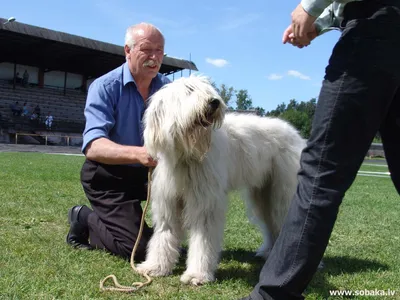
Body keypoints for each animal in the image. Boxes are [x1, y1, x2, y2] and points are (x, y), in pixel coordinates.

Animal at [136, 75, 304, 286]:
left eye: (208, 89)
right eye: (189, 90)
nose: (214, 102)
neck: (187, 155)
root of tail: (296, 134)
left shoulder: (206, 202)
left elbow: (203, 239)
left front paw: (197, 274)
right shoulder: (169, 201)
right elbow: (164, 234)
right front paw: (155, 267)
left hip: (282, 192)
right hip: (263, 194)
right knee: (270, 223)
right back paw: (268, 252)